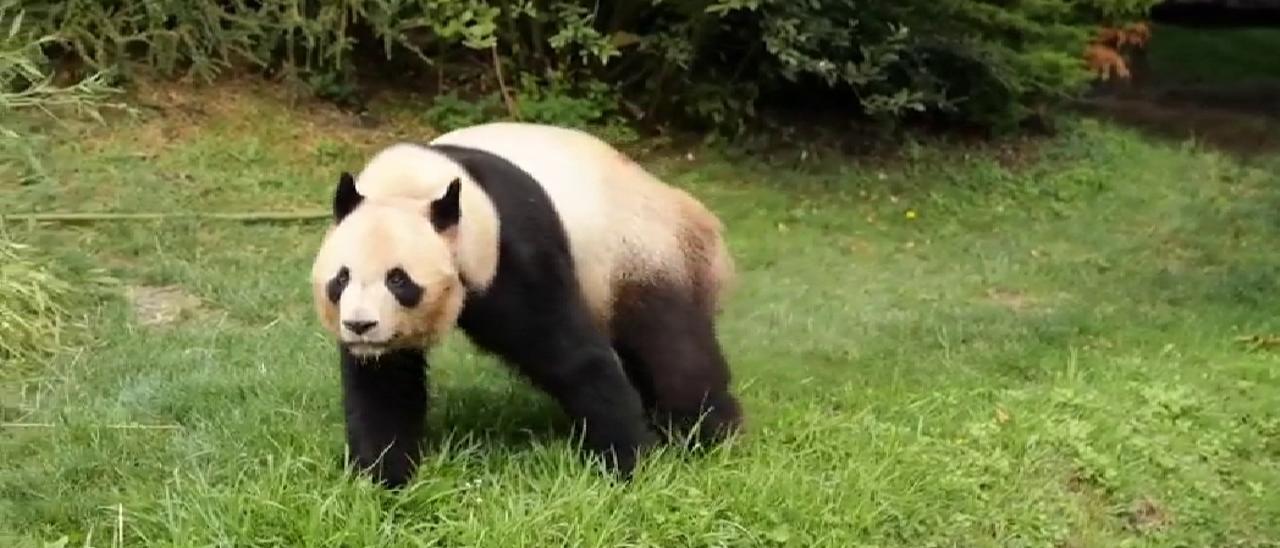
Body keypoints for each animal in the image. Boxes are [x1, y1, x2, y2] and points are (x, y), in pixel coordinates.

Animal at [307, 120, 742, 489]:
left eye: (398, 280)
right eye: (341, 278)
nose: (360, 326)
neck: (409, 188)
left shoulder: (508, 246)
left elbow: (571, 354)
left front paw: (630, 462)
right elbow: (385, 384)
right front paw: (383, 477)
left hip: (642, 255)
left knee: (674, 350)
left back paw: (710, 435)